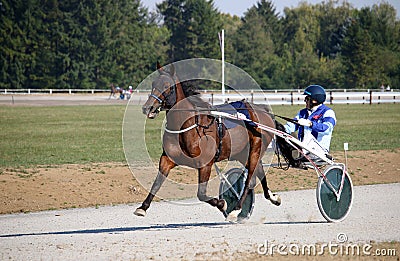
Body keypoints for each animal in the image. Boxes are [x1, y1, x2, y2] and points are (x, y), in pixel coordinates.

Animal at [134, 62, 282, 220]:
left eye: (168, 86)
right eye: (153, 83)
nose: (148, 107)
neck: (187, 127)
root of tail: (264, 111)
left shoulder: (205, 164)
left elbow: (201, 194)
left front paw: (222, 204)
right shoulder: (167, 159)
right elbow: (156, 183)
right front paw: (142, 207)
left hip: (255, 150)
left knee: (250, 181)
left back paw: (236, 209)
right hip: (242, 153)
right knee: (259, 173)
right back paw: (273, 197)